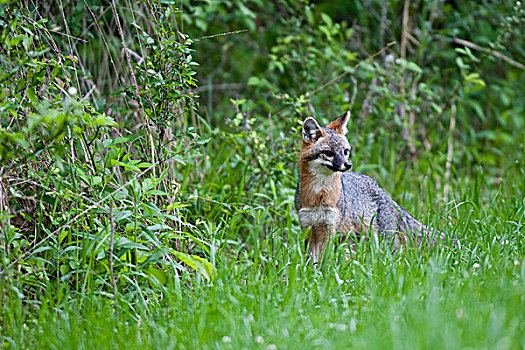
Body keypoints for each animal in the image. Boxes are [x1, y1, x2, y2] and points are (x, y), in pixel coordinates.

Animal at [294, 111, 442, 262]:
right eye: (329, 153)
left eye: (345, 151)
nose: (348, 165)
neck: (319, 194)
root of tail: (382, 192)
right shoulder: (308, 228)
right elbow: (311, 259)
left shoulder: (329, 227)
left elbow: (324, 258)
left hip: (382, 241)